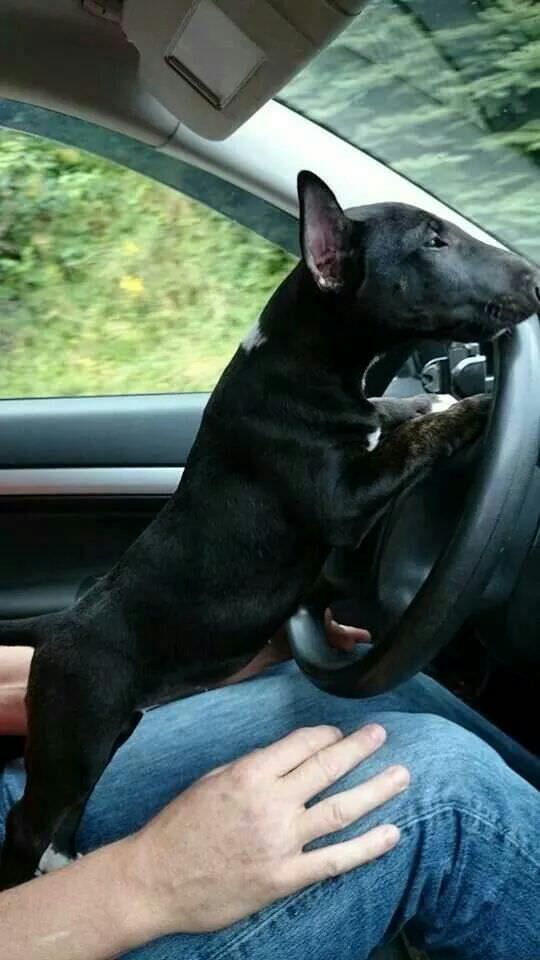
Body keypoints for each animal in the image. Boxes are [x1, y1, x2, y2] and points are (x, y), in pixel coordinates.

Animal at [0, 171, 536, 884]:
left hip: (111, 729)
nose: (535, 276)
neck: (300, 357)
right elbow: (411, 442)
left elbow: (392, 413)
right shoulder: (346, 498)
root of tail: (55, 625)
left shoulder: (367, 421)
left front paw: (434, 395)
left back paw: (66, 861)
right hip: (72, 733)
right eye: (432, 241)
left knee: (69, 810)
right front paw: (477, 404)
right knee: (28, 821)